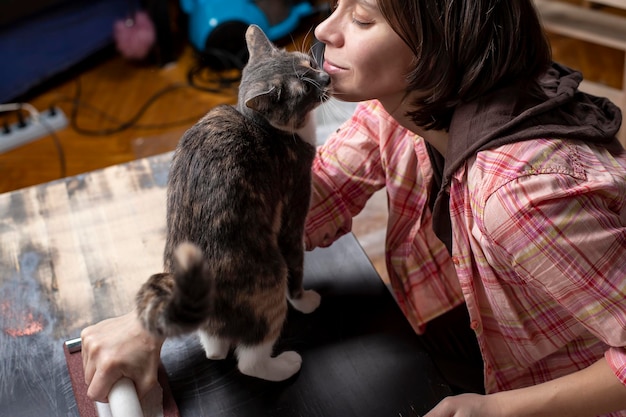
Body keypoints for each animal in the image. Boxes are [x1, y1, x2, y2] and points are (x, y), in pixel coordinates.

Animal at [134, 23, 330, 380]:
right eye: (305, 88)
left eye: (309, 63)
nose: (327, 78)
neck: (261, 125)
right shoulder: (293, 208)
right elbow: (297, 264)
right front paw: (305, 300)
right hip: (269, 279)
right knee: (249, 360)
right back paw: (285, 364)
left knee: (215, 345)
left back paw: (218, 346)